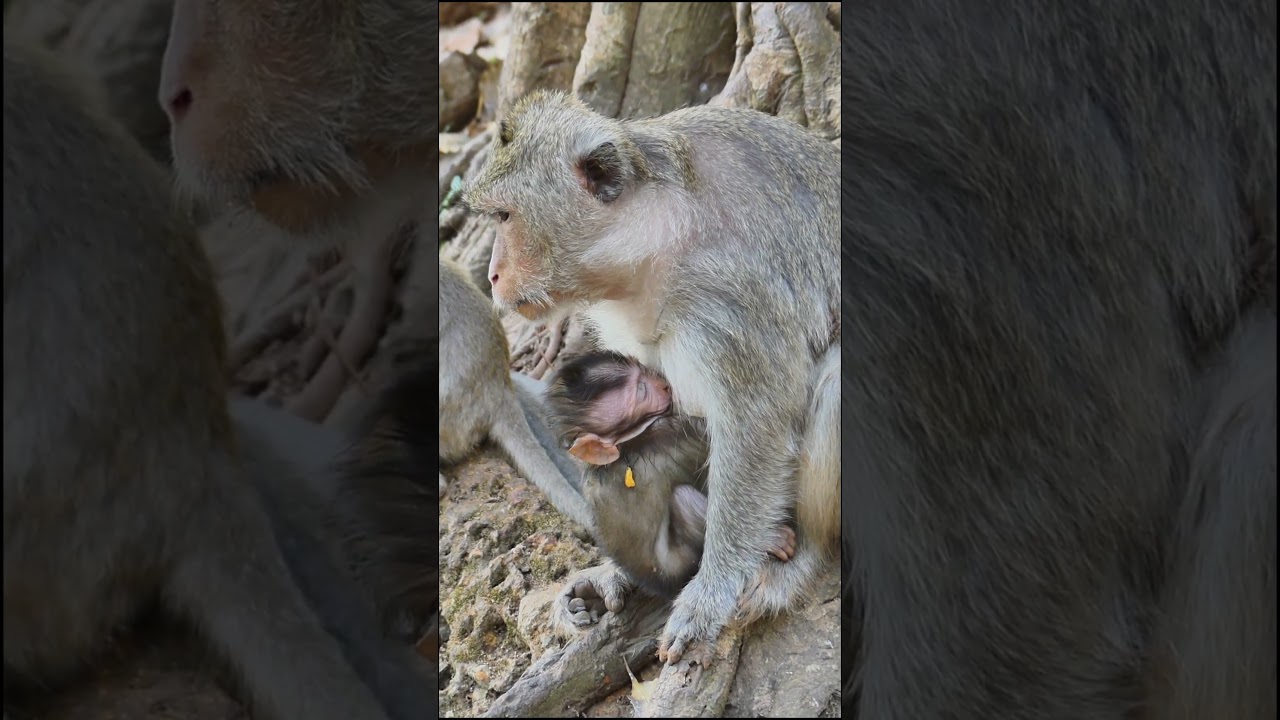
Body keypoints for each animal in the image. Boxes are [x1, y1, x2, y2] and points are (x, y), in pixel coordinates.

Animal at [540, 350, 798, 601]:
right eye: (641, 391)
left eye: (640, 368)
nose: (663, 384)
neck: (620, 450)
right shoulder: (670, 432)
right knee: (683, 498)